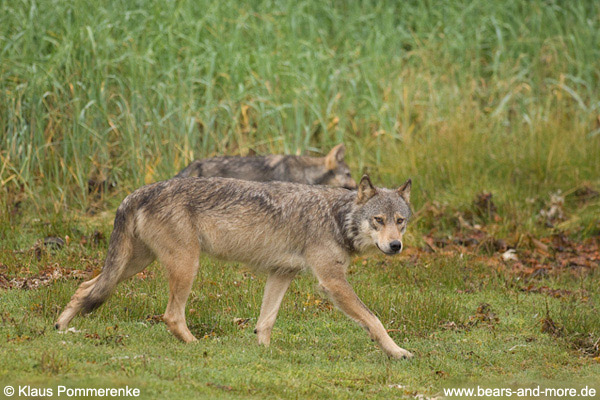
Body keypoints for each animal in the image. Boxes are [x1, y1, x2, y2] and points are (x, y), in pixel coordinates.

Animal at [55, 175, 412, 360]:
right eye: (378, 220)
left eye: (400, 221)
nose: (395, 246)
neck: (339, 217)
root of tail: (139, 191)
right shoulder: (331, 281)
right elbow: (375, 320)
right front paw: (398, 352)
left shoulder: (281, 274)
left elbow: (265, 322)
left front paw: (264, 354)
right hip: (185, 265)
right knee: (171, 316)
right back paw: (198, 347)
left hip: (133, 266)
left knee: (85, 288)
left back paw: (62, 330)